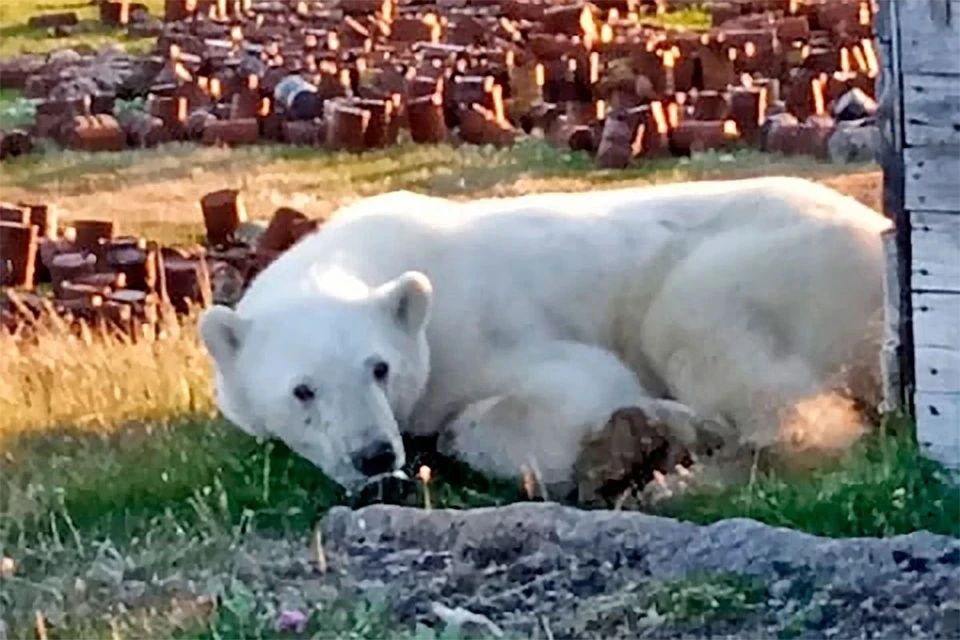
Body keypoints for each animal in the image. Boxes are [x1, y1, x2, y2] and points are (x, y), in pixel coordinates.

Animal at [201, 178, 892, 492]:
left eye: (380, 367)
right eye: (303, 390)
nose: (373, 455)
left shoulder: (478, 327)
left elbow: (576, 386)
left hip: (772, 263)